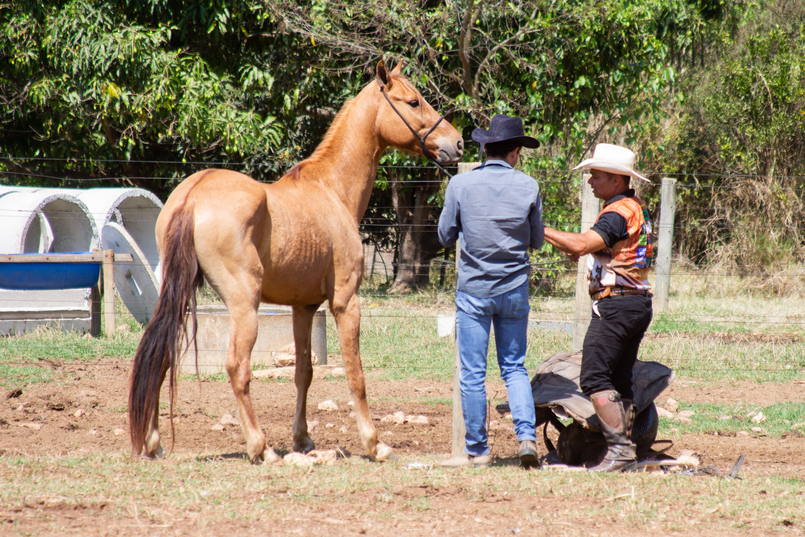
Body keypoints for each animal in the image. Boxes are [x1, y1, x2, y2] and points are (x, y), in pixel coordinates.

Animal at [128, 59, 462, 460]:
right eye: (413, 102)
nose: (458, 142)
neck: (331, 190)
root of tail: (194, 195)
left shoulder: (304, 308)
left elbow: (304, 372)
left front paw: (302, 439)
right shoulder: (345, 303)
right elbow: (356, 374)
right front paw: (374, 442)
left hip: (177, 296)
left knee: (159, 355)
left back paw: (153, 442)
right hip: (245, 305)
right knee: (237, 367)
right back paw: (260, 447)